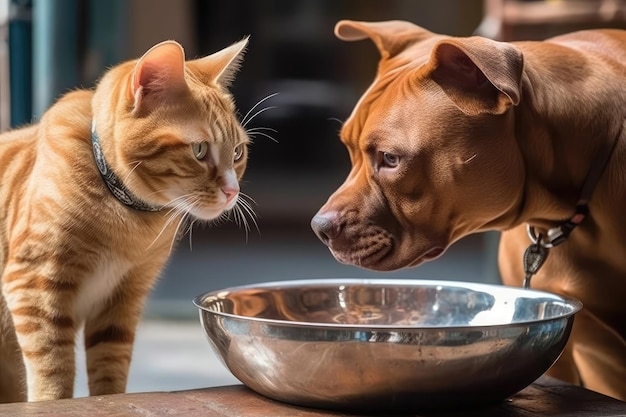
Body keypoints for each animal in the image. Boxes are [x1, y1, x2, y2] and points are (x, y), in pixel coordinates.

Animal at [2, 37, 252, 402]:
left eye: (237, 153)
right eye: (200, 150)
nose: (233, 191)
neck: (128, 220)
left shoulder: (122, 301)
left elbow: (110, 373)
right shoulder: (35, 286)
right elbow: (53, 370)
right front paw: (52, 401)